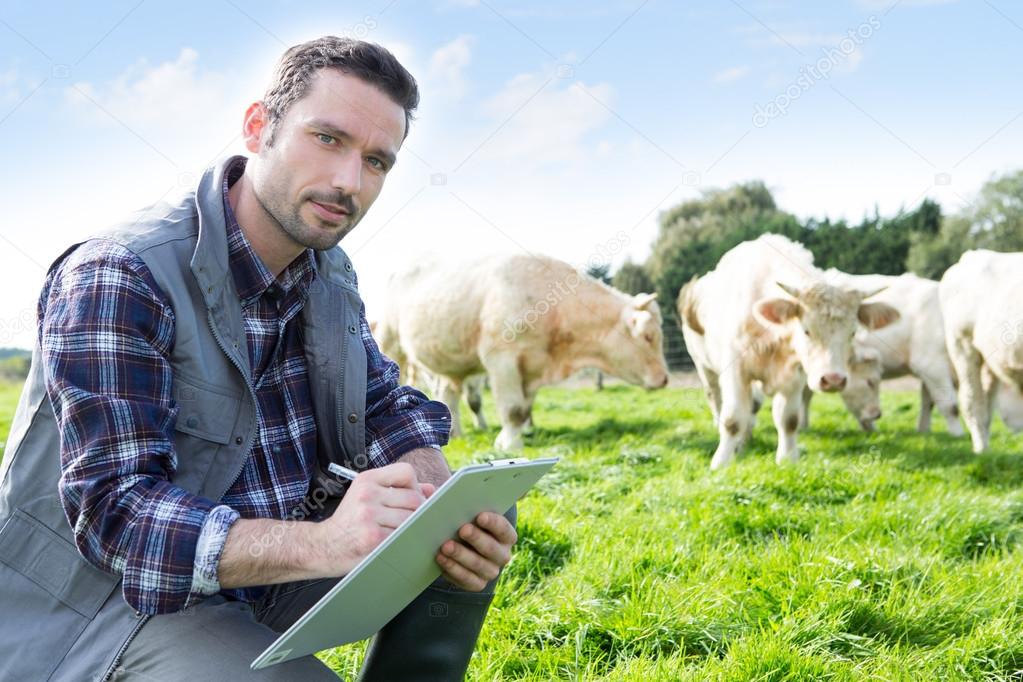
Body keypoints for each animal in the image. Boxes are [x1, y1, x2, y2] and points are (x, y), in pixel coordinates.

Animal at [376, 253, 671, 449]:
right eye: (648, 336)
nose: (665, 379)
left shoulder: (532, 366)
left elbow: (526, 409)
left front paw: (523, 435)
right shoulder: (502, 361)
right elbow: (514, 409)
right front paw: (509, 445)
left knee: (448, 395)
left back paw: (456, 434)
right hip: (391, 343)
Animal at [683, 235, 900, 470]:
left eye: (852, 332)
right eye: (806, 330)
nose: (833, 380)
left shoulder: (796, 374)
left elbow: (789, 419)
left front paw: (787, 459)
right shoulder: (736, 371)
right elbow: (732, 419)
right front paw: (721, 461)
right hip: (704, 366)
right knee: (716, 399)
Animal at [937, 250, 1023, 453]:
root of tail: (971, 255)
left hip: (991, 359)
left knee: (987, 403)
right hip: (962, 345)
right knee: (972, 400)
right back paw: (982, 450)